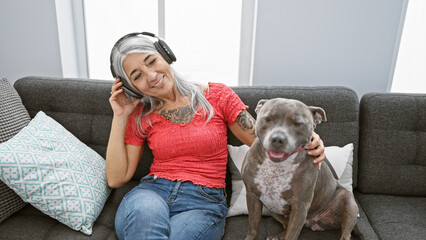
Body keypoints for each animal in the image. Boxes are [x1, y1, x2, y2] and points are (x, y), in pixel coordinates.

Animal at [241, 98, 364, 239]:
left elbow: (292, 235)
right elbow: (253, 227)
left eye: (298, 123)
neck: (276, 166)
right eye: (268, 118)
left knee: (346, 234)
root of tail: (314, 221)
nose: (277, 139)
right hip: (272, 207)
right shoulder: (252, 196)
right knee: (286, 224)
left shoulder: (300, 206)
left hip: (347, 201)